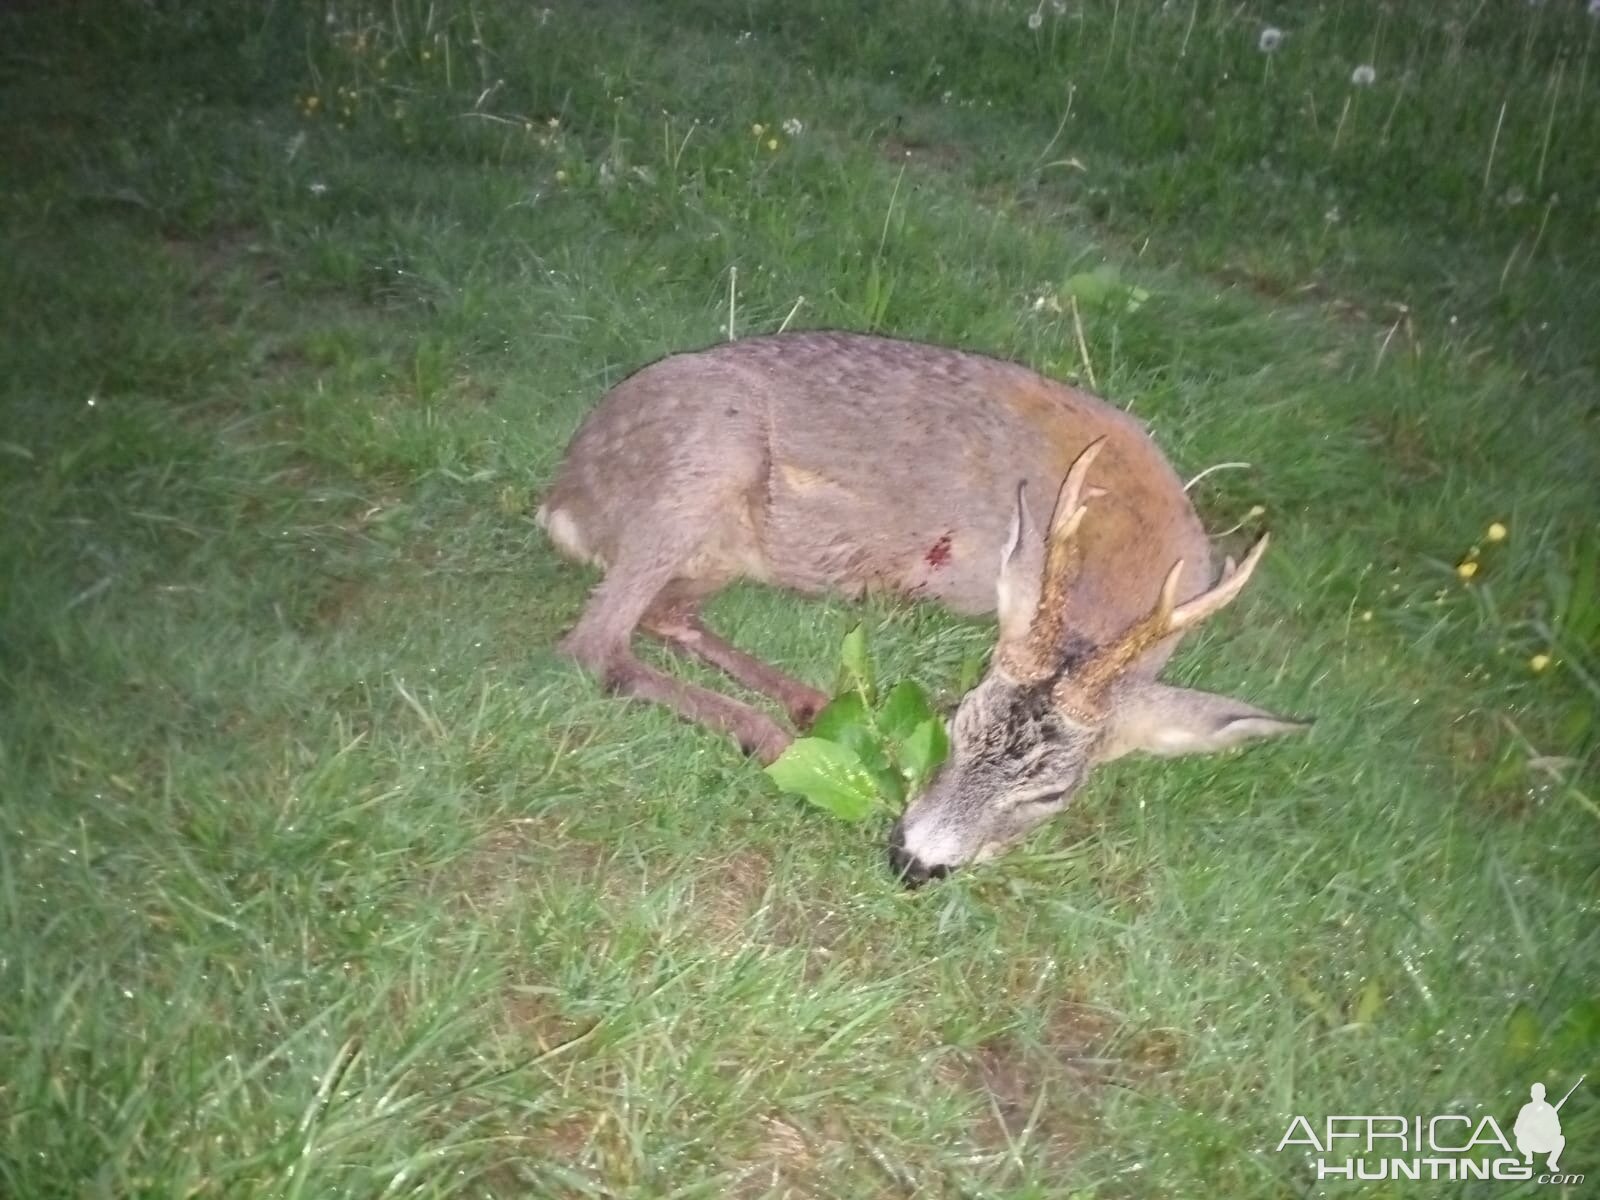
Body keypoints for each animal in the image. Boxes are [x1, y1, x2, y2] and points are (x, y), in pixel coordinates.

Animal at [540, 331, 1312, 883]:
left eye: (1053, 794)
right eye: (957, 723)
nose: (914, 861)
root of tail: (563, 498)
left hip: (724, 547)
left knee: (667, 617)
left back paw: (810, 703)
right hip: (705, 459)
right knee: (596, 642)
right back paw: (773, 736)